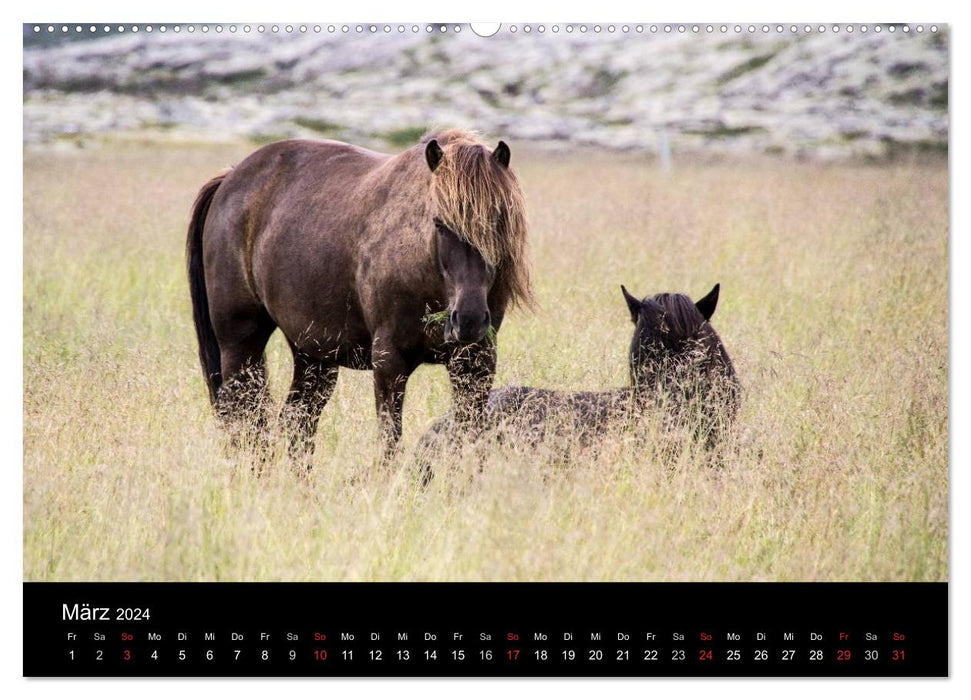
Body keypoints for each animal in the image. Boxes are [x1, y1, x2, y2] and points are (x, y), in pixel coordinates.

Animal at [184, 131, 532, 460]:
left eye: (500, 218)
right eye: (439, 223)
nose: (470, 320)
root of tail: (230, 178)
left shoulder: (476, 365)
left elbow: (469, 443)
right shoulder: (390, 362)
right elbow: (390, 444)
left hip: (313, 356)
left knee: (296, 422)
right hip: (241, 344)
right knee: (246, 424)